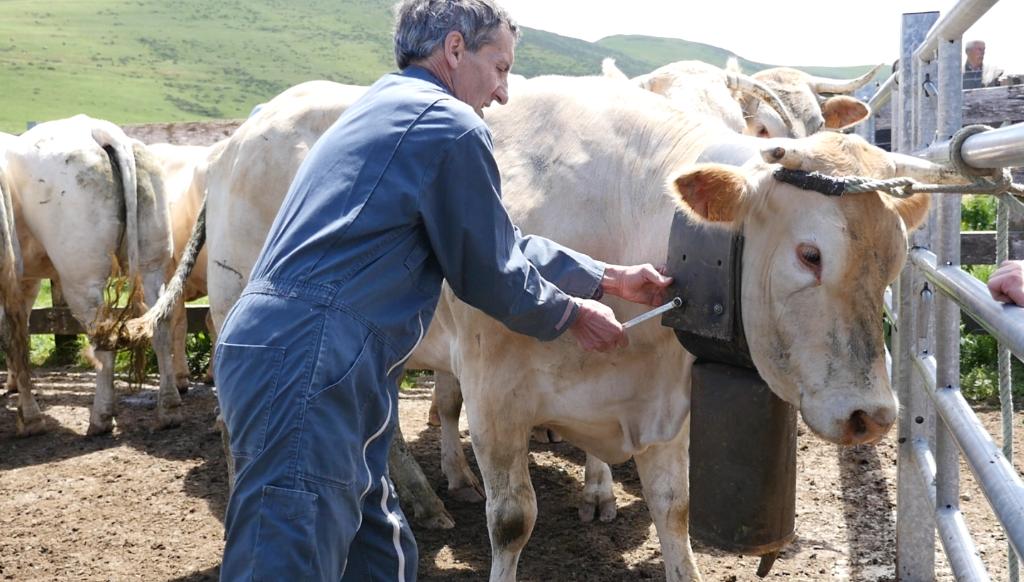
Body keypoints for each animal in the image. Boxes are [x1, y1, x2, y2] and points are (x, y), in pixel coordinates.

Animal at [3, 113, 178, 434]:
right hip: (153, 264)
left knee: (104, 339)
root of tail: (100, 130)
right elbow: (18, 331)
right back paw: (169, 409)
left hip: (81, 281)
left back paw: (101, 418)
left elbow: (12, 335)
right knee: (160, 324)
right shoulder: (25, 280)